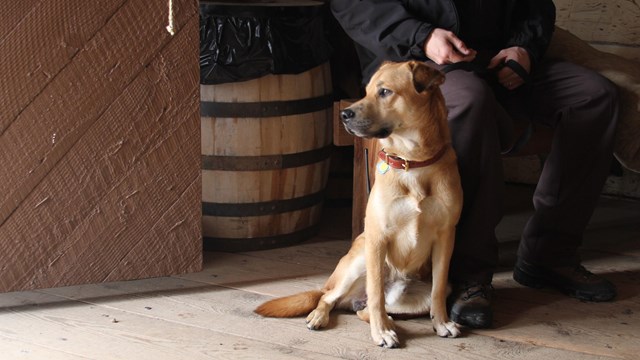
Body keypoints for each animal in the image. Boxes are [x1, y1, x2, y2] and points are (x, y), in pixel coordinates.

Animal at [254, 60, 460, 348]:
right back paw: (325, 317)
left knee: (368, 308)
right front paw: (379, 332)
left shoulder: (445, 237)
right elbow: (376, 294)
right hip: (359, 259)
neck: (413, 162)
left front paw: (441, 323)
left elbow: (438, 289)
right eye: (366, 91)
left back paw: (391, 323)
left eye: (384, 92)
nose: (344, 114)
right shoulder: (377, 237)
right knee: (330, 297)